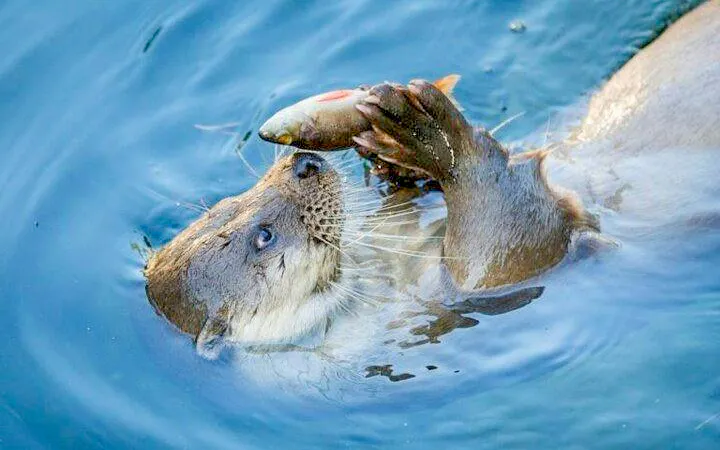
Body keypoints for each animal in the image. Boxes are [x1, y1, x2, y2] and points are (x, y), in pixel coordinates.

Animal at [145, 0, 720, 354]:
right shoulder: (478, 285)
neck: (386, 279)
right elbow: (505, 244)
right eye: (262, 236)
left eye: (232, 201)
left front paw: (395, 153)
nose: (304, 162)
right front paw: (431, 136)